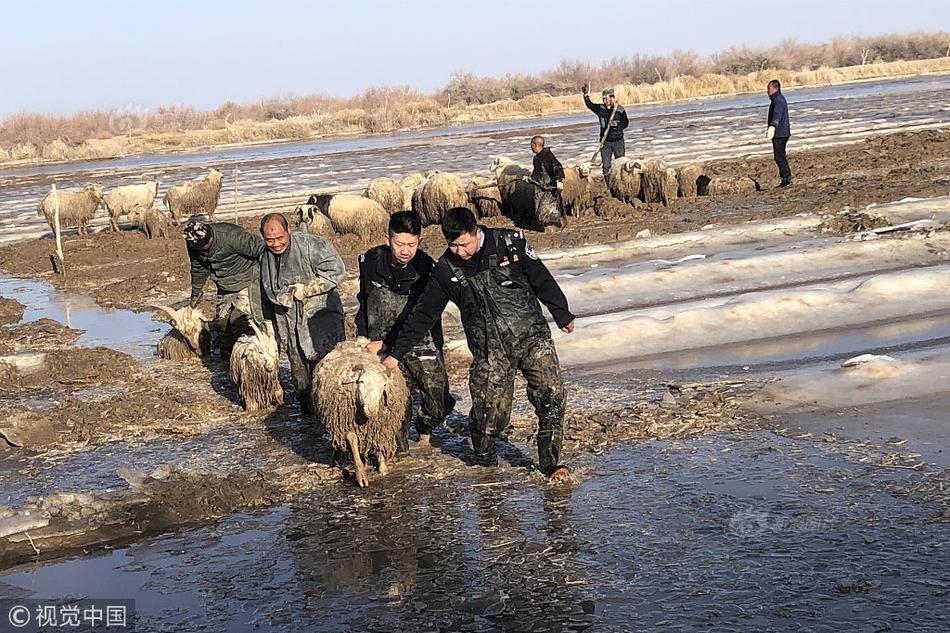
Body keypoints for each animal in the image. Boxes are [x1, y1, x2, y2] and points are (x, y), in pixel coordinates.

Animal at [312, 338, 412, 486]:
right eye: (361, 381)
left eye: (383, 385)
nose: (371, 409)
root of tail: (355, 340)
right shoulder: (346, 424)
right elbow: (353, 441)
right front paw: (361, 473)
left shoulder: (380, 423)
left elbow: (378, 438)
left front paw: (382, 467)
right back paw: (336, 460)